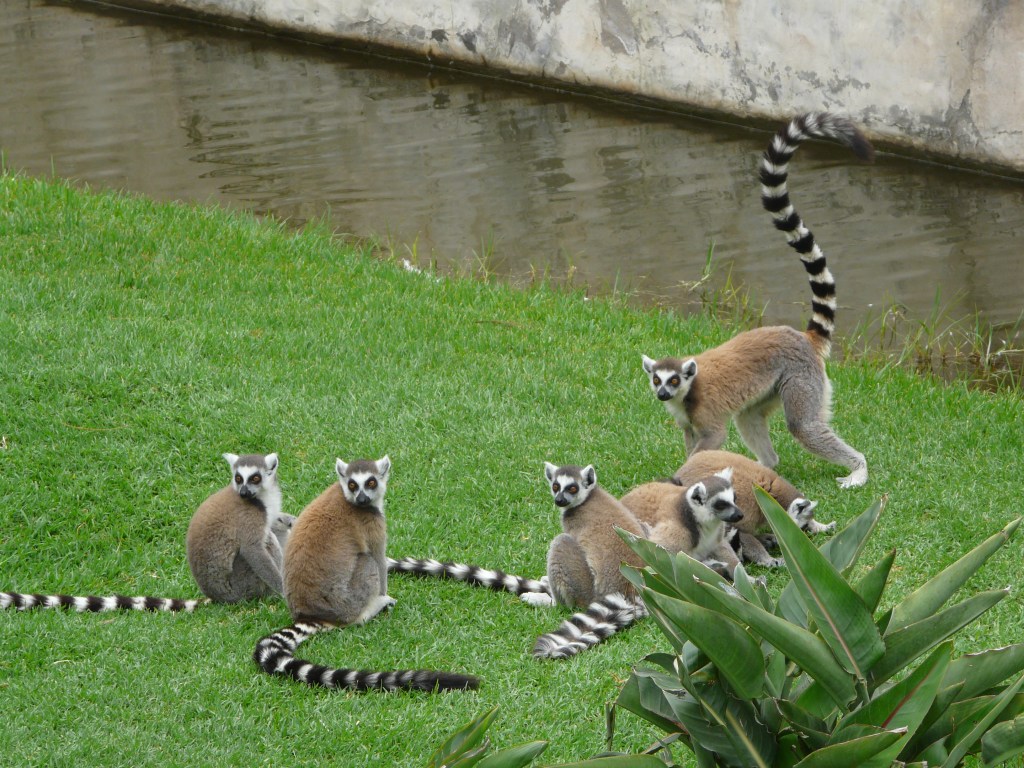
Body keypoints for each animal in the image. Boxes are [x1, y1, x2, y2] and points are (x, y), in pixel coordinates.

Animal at [1, 451, 292, 614]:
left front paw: (288, 519)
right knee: (265, 544)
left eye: (254, 478)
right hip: (243, 585)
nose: (243, 492)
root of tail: (218, 597)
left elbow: (277, 522)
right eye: (238, 478)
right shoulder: (248, 517)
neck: (260, 498)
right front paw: (283, 592)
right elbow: (253, 548)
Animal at [252, 456, 478, 692]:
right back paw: (373, 608)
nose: (361, 498)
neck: (347, 497)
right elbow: (378, 560)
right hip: (347, 601)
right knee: (367, 564)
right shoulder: (372, 524)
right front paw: (385, 596)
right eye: (353, 485)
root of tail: (309, 613)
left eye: (370, 482)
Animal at [642, 112, 872, 489]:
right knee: (749, 417)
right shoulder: (687, 423)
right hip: (770, 390)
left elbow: (711, 440)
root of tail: (802, 337)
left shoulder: (706, 415)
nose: (662, 394)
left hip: (801, 378)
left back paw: (858, 469)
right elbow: (693, 440)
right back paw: (762, 467)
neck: (686, 395)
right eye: (657, 380)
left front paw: (681, 479)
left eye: (674, 380)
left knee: (804, 426)